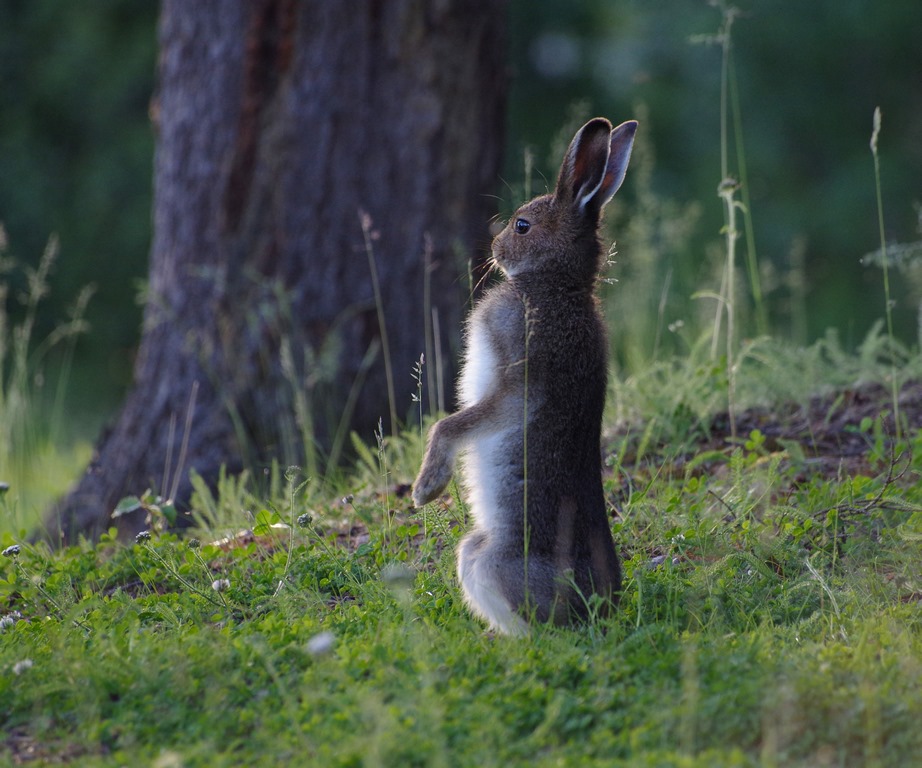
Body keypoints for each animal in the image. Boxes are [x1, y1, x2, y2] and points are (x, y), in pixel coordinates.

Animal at [412, 117, 637, 635]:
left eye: (522, 225)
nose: (495, 246)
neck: (556, 281)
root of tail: (600, 607)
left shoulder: (518, 371)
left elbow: (451, 424)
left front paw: (426, 489)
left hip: (491, 561)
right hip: (475, 552)